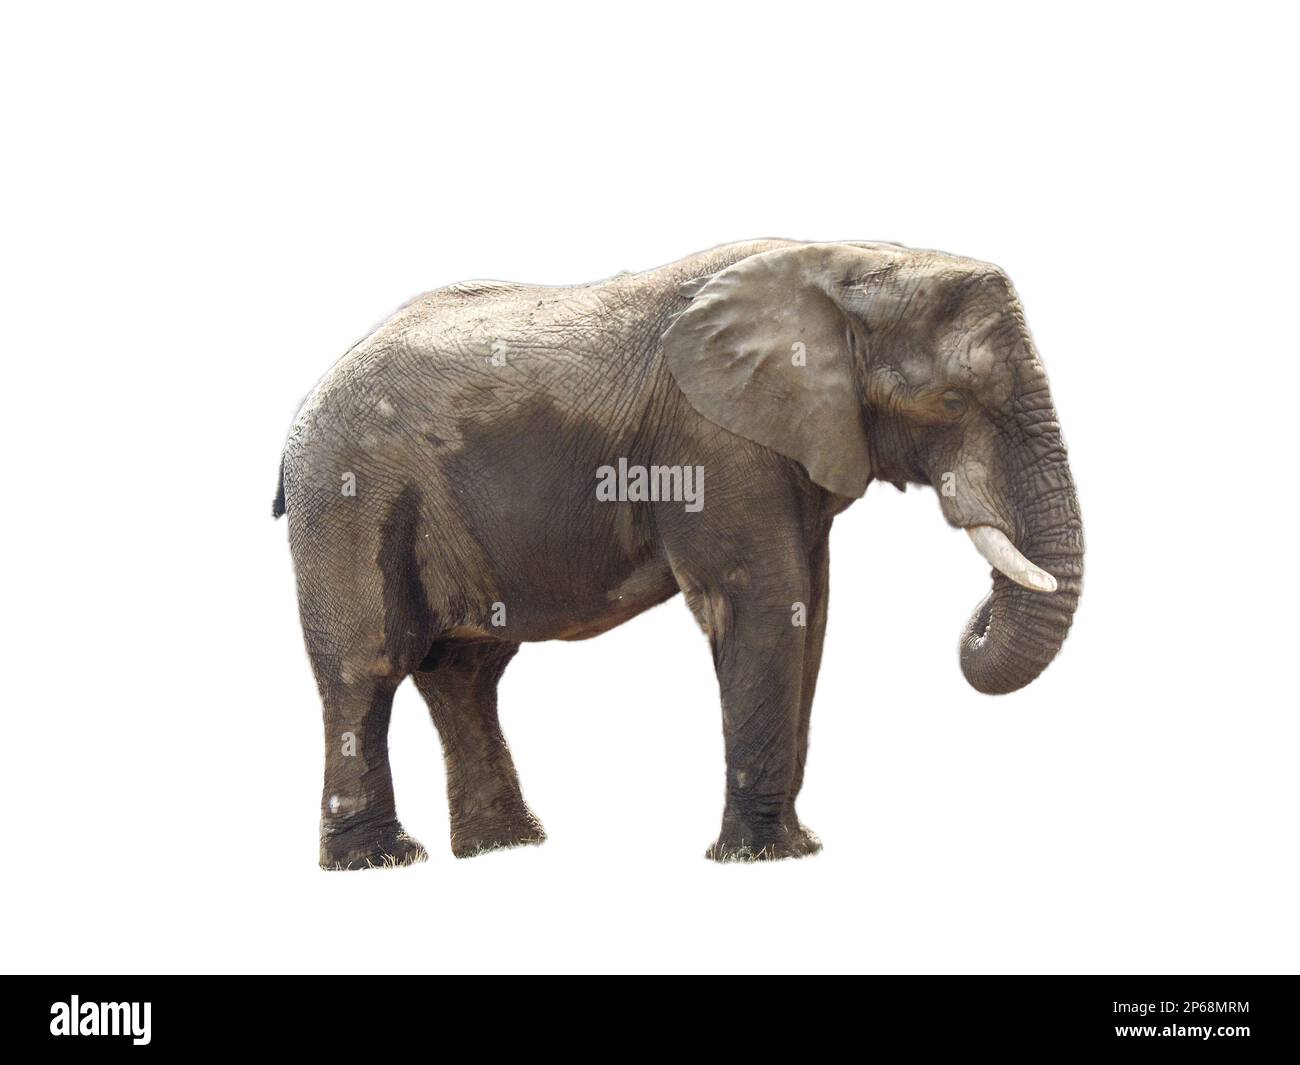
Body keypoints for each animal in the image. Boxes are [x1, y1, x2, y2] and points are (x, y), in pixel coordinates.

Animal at [273, 239, 1083, 868]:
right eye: (952, 402)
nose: (973, 617)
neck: (849, 265)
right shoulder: (712, 441)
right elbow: (763, 600)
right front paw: (764, 858)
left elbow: (811, 611)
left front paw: (798, 846)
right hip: (350, 493)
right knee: (369, 665)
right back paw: (381, 860)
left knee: (466, 672)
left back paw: (505, 847)